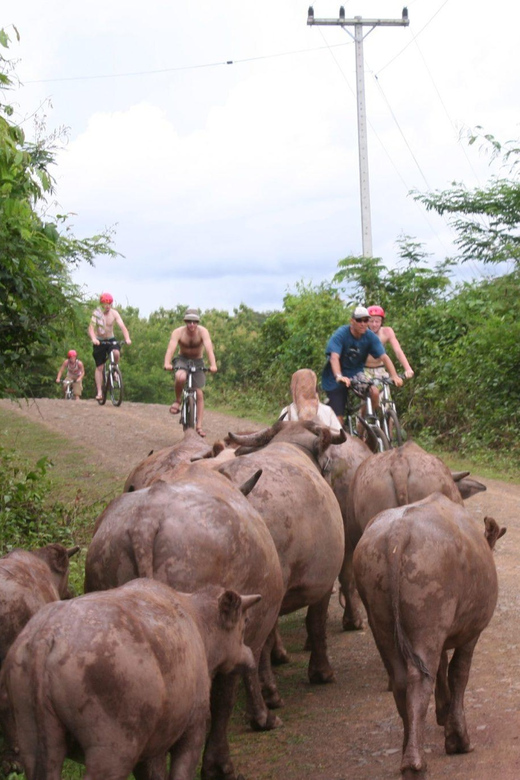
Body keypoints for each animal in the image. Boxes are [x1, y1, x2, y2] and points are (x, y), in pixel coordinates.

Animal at [0, 580, 260, 780]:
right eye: (245, 622)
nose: (250, 655)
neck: (202, 628)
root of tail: (45, 637)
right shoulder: (192, 728)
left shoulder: (151, 747)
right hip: (113, 750)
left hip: (33, 740)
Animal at [218, 420, 346, 696]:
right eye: (329, 464)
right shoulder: (323, 582)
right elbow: (316, 623)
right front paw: (321, 672)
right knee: (261, 640)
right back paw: (268, 689)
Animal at [352, 496, 506, 776]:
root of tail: (398, 533)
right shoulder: (472, 632)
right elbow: (458, 673)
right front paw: (457, 738)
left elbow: (443, 666)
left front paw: (443, 713)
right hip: (427, 602)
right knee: (420, 680)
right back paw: (416, 764)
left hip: (378, 612)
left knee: (401, 679)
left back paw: (408, 749)